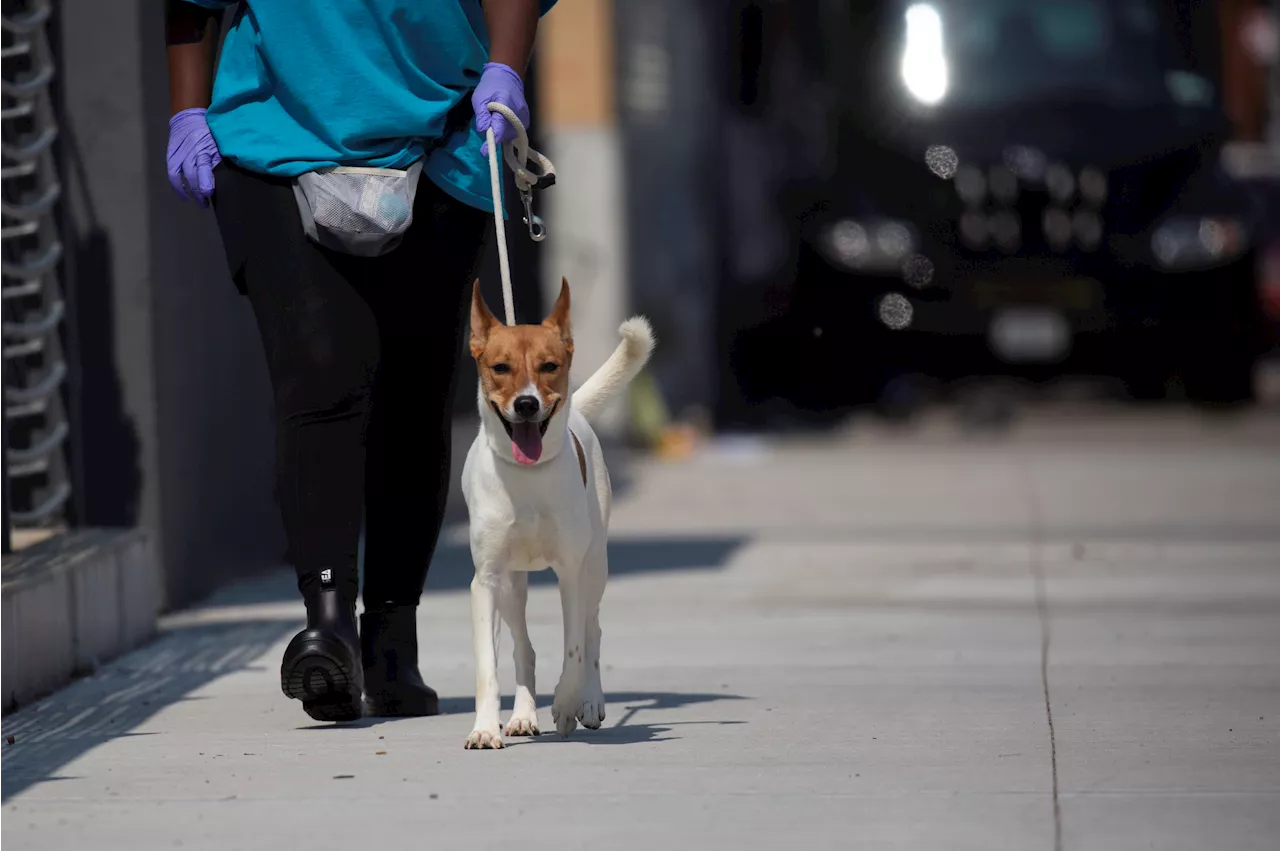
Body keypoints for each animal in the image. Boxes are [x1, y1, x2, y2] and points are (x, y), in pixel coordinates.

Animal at [463, 277, 655, 742]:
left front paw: (567, 705)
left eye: (549, 366)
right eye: (500, 367)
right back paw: (522, 714)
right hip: (511, 585)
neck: (526, 474)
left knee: (592, 629)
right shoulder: (486, 581)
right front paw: (486, 729)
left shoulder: (571, 572)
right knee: (523, 648)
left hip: (596, 564)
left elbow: (574, 651)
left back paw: (590, 701)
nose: (527, 404)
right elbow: (488, 665)